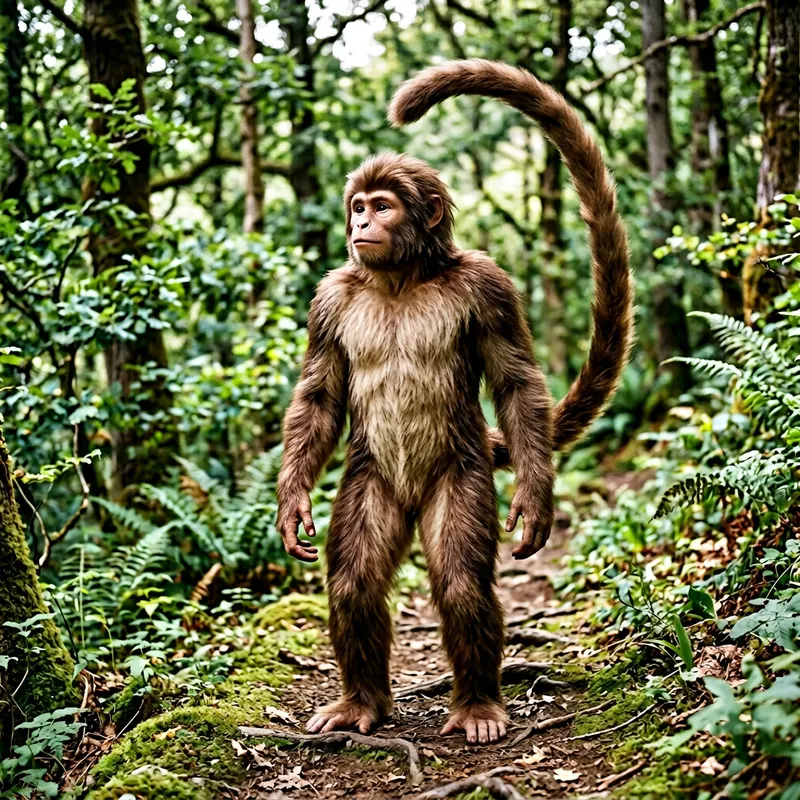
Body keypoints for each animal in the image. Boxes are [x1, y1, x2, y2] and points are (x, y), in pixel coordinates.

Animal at [276, 60, 633, 745]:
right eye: (358, 207)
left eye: (382, 206)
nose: (359, 226)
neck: (402, 277)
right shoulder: (329, 297)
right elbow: (320, 395)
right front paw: (293, 502)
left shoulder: (488, 285)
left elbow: (516, 383)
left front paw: (535, 499)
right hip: (368, 477)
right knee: (355, 581)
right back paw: (362, 701)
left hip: (461, 472)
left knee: (462, 583)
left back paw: (477, 704)